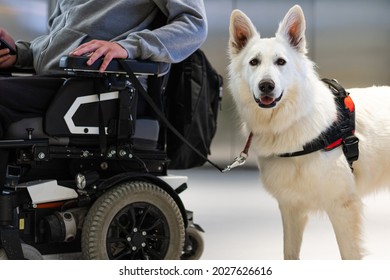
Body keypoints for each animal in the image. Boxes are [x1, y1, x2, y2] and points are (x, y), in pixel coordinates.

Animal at [229, 4, 390, 260]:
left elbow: (349, 255)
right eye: (254, 62)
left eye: (281, 62)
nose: (266, 86)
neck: (292, 123)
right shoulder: (291, 208)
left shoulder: (342, 207)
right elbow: (289, 254)